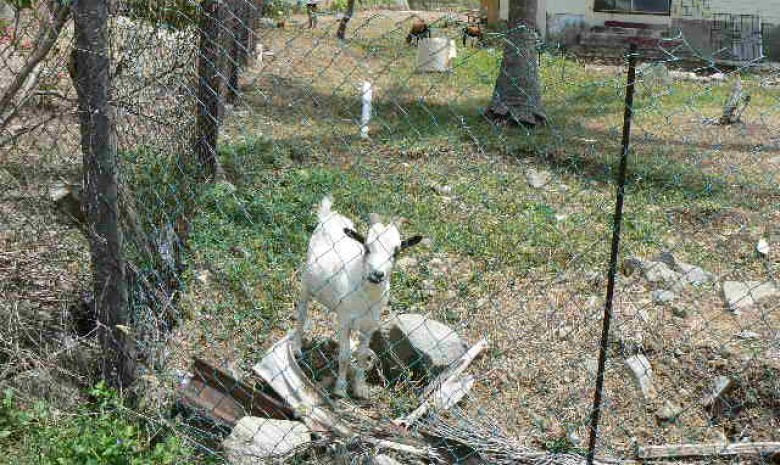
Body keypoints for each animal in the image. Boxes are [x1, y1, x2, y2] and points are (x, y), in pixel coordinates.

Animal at [296, 197, 424, 398]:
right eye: (367, 247)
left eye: (396, 252)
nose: (377, 274)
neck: (366, 297)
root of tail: (329, 215)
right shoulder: (345, 321)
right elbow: (344, 356)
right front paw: (340, 389)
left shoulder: (369, 326)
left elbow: (362, 355)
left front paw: (360, 388)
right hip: (305, 285)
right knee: (301, 315)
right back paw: (296, 349)